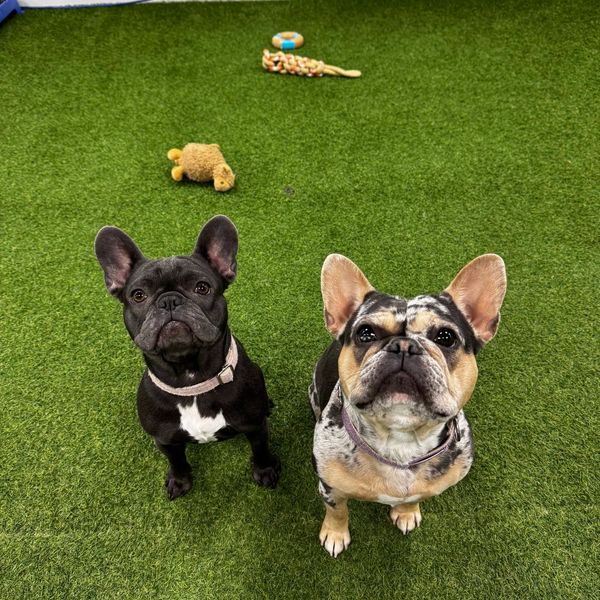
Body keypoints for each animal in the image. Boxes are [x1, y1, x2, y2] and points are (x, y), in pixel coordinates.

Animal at [95, 215, 280, 499]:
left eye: (201, 288)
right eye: (138, 295)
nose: (169, 300)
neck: (191, 379)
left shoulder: (255, 427)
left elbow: (260, 450)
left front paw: (266, 471)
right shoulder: (165, 440)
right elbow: (177, 460)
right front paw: (179, 480)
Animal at [309, 253, 506, 556]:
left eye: (446, 337)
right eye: (365, 333)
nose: (403, 345)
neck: (400, 440)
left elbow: (414, 497)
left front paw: (406, 512)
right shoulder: (330, 488)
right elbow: (337, 511)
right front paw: (335, 534)